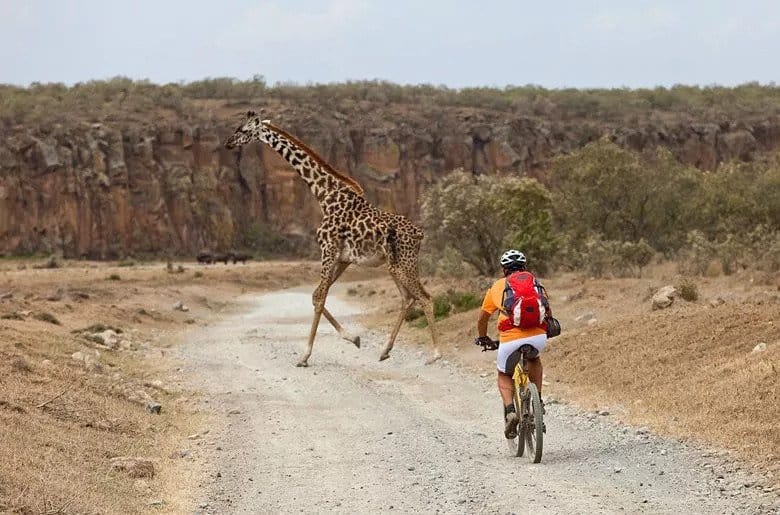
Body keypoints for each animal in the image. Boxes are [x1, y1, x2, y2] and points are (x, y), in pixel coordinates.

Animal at [224, 111, 442, 367]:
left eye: (243, 130)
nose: (228, 143)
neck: (324, 194)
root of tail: (420, 233)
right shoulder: (343, 258)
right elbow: (316, 295)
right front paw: (354, 338)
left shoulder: (328, 250)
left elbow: (319, 298)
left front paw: (305, 355)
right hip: (394, 265)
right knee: (407, 299)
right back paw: (385, 350)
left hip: (404, 264)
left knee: (425, 298)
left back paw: (435, 354)